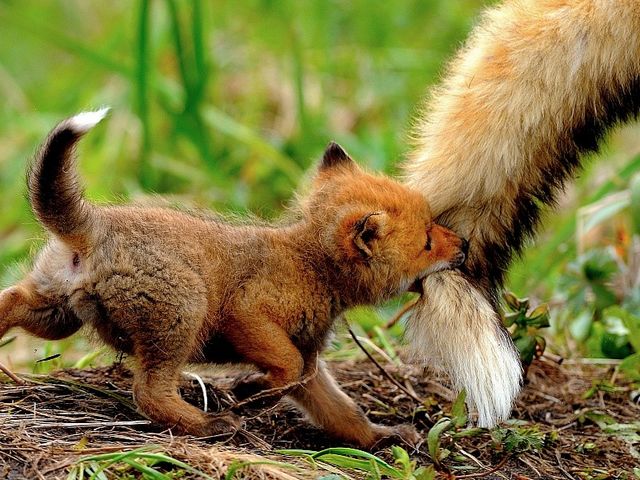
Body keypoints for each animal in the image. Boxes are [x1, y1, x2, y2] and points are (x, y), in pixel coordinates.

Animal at [0, 109, 468, 448]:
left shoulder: (311, 362)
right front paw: (249, 392)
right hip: (182, 316)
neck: (311, 266)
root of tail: (94, 224)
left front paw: (380, 438)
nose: (464, 244)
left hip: (55, 315)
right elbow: (286, 367)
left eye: (433, 225)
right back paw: (211, 424)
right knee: (149, 393)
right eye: (428, 241)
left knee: (8, 300)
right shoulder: (247, 315)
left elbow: (340, 411)